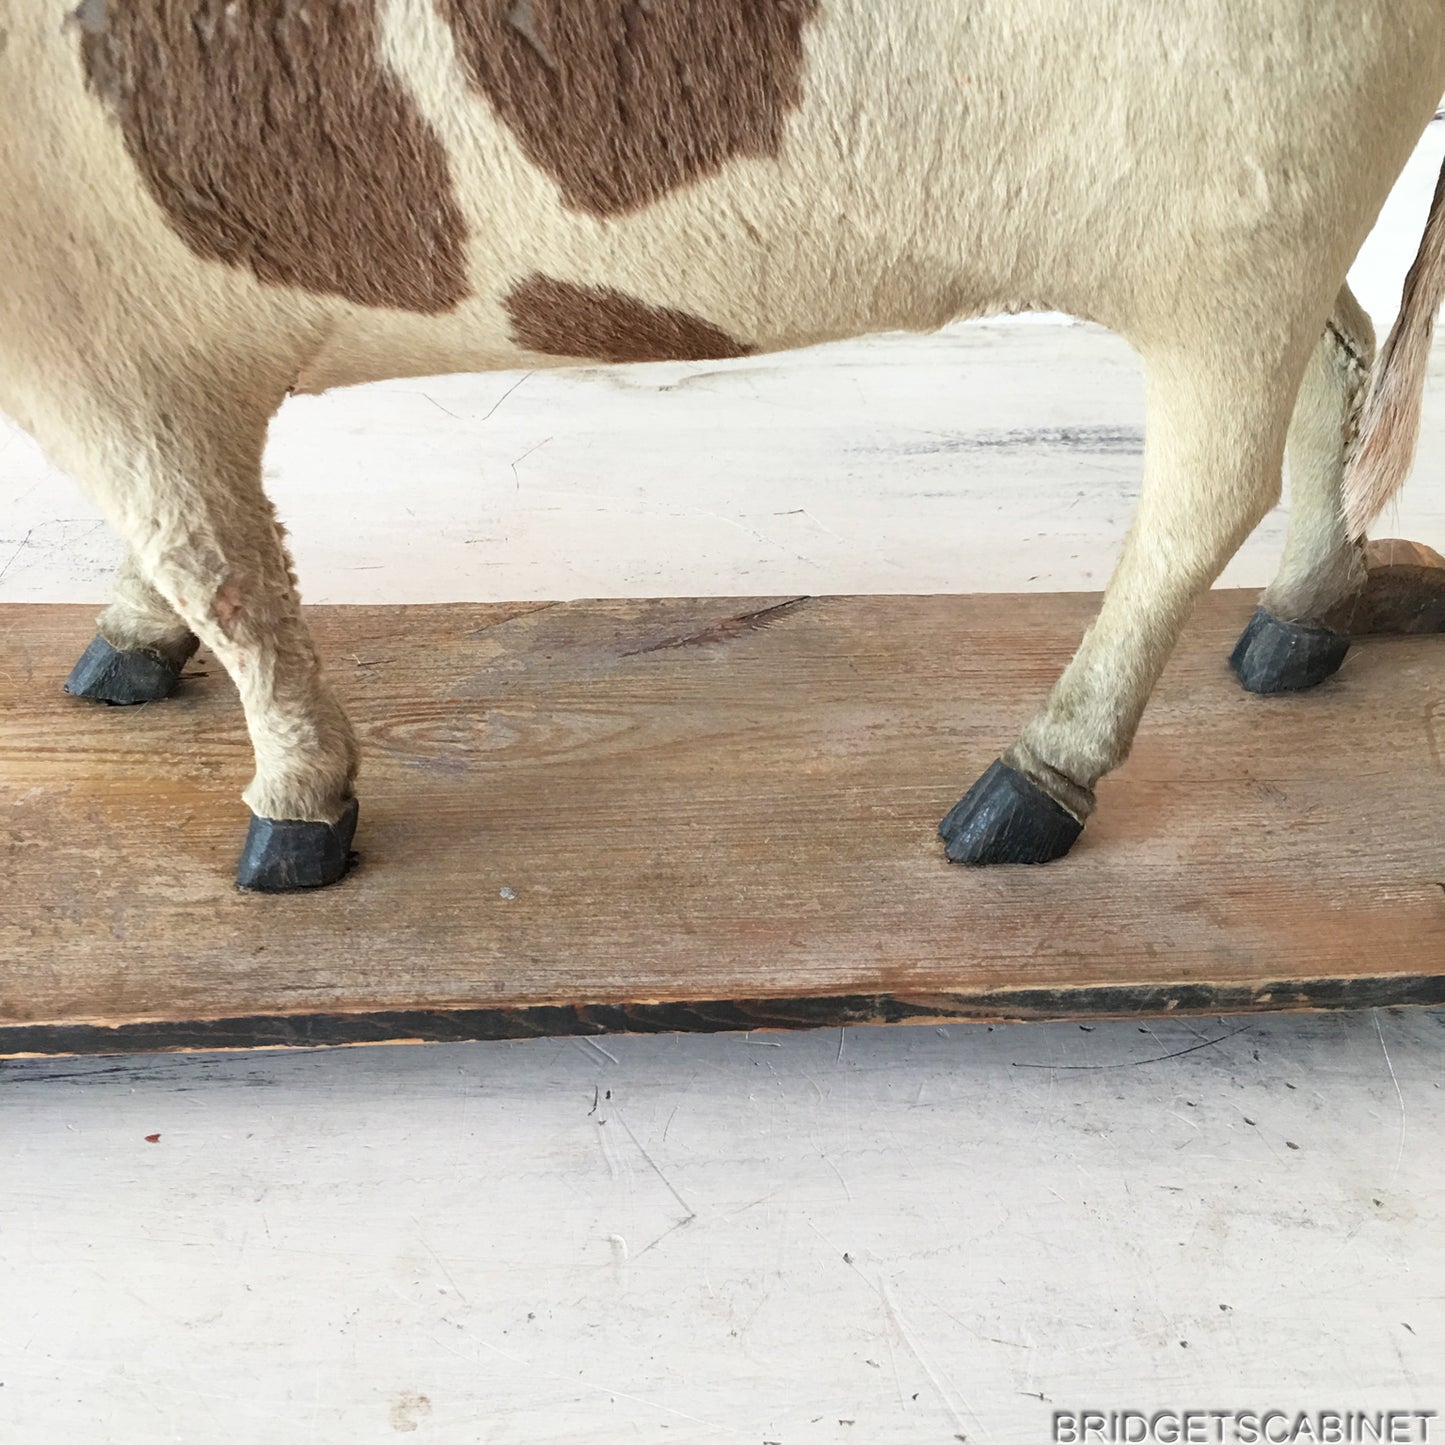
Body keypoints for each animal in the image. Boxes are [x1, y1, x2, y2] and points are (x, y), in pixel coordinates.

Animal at [1, 0, 1442, 890]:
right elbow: (188, 552)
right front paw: (129, 648)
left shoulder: (100, 343)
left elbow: (220, 568)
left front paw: (296, 810)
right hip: (1257, 236)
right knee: (1340, 366)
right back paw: (1303, 622)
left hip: (1231, 234)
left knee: (1204, 492)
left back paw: (1027, 786)